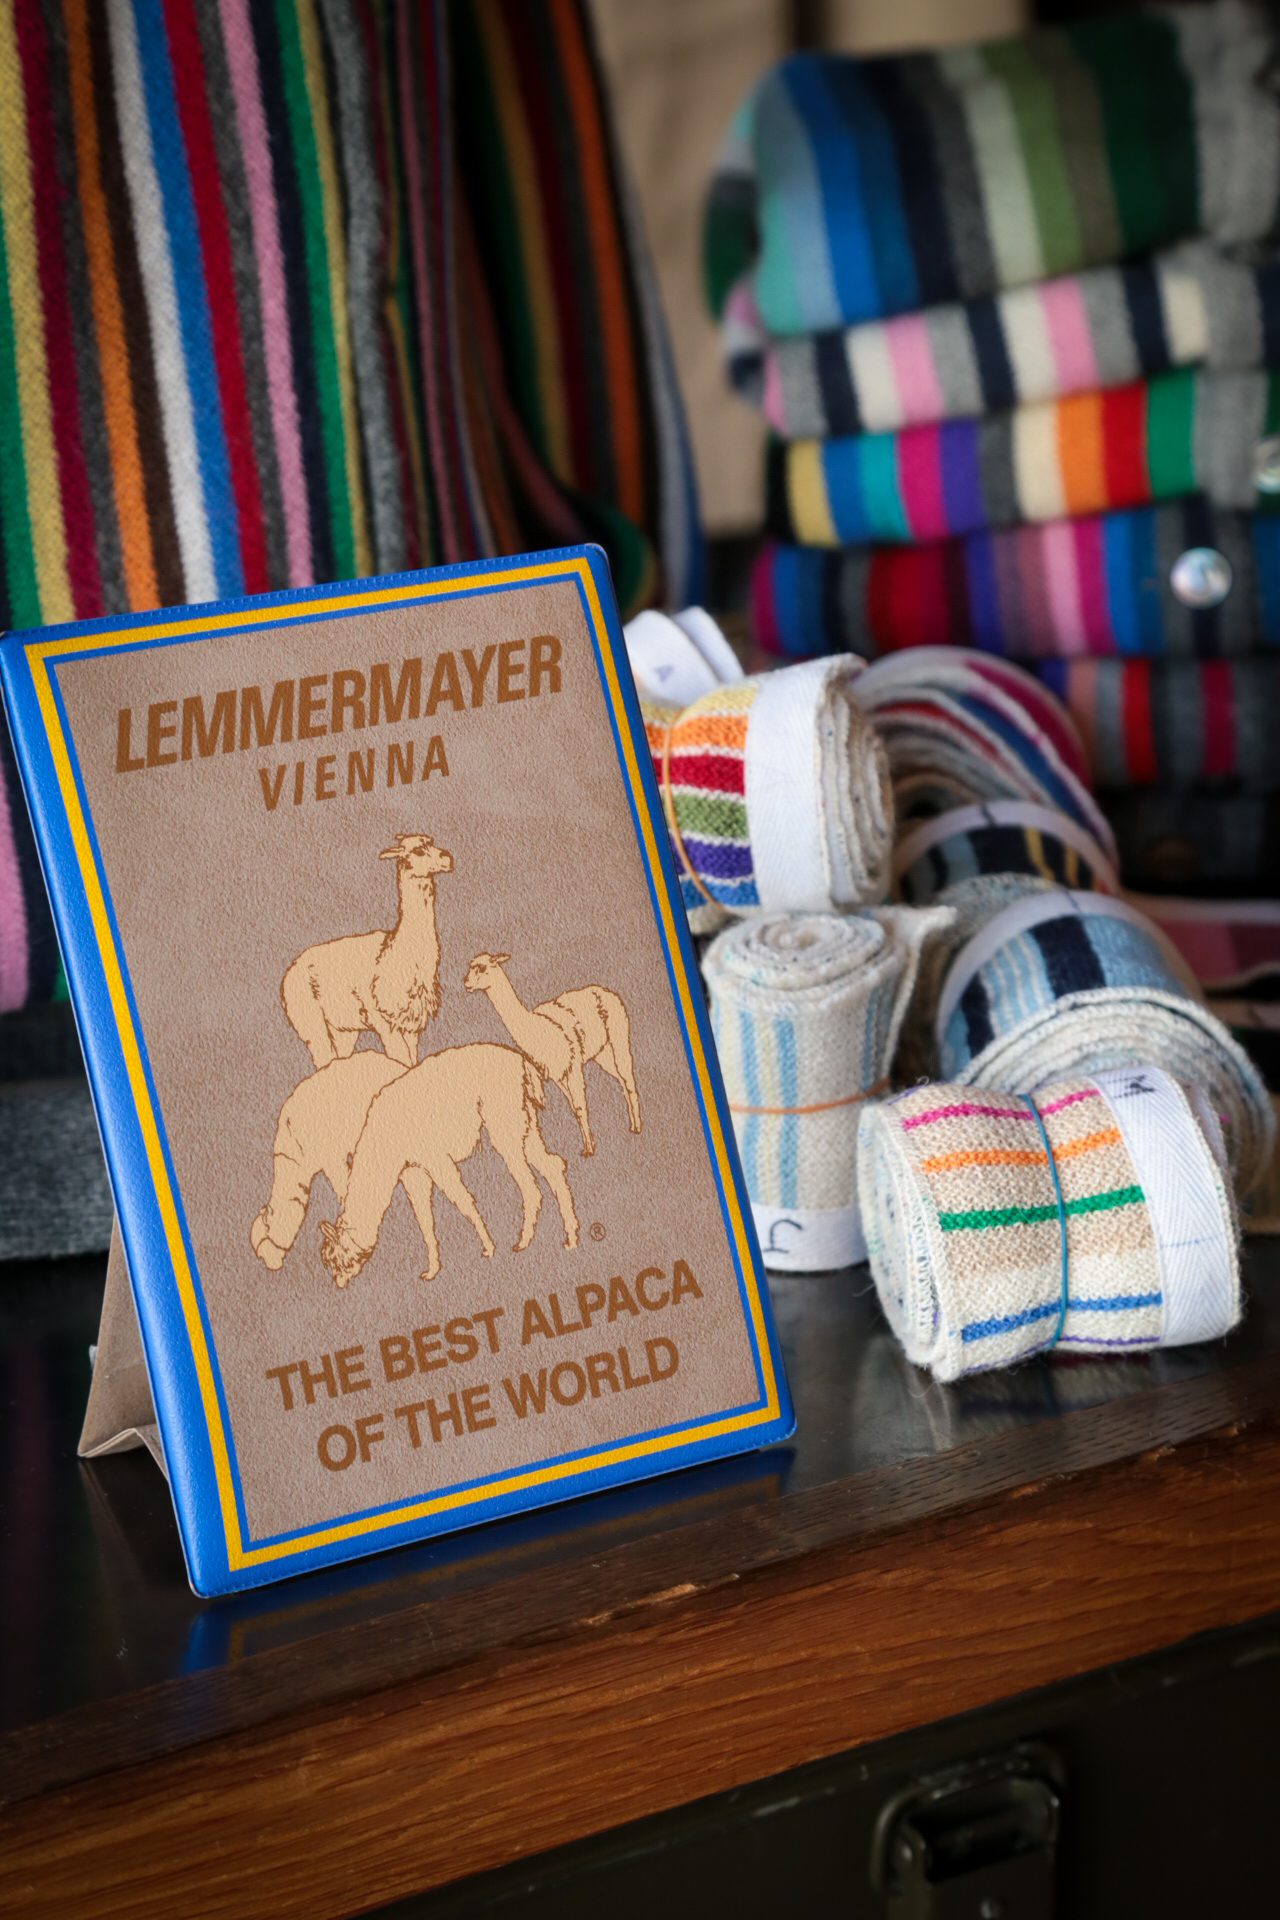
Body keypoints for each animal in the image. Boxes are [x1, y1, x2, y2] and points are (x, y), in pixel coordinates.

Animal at [281, 833, 453, 1070]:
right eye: (418, 850)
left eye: (432, 842)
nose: (448, 858)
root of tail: (289, 971)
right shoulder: (383, 1019)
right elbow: (400, 1060)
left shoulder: (410, 1023)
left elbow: (410, 1063)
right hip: (309, 1017)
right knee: (322, 1058)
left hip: (342, 1028)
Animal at [318, 1042, 579, 1287]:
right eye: (328, 1262)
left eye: (336, 1259)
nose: (338, 1283)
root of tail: (521, 1062)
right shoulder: (414, 1172)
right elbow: (425, 1220)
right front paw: (431, 1270)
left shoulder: (436, 1159)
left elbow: (462, 1200)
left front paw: (488, 1247)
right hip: (526, 1123)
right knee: (553, 1166)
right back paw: (570, 1237)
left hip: (504, 1121)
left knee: (530, 1184)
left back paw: (524, 1242)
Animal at [463, 954, 641, 1157]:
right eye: (470, 966)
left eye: (482, 968)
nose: (466, 982)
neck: (540, 1028)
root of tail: (607, 992)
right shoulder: (558, 1074)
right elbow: (574, 1108)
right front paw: (588, 1145)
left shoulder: (573, 1066)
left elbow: (580, 1106)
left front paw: (589, 1150)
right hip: (602, 1053)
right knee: (621, 1080)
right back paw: (632, 1124)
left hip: (619, 1036)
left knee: (628, 1078)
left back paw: (637, 1127)